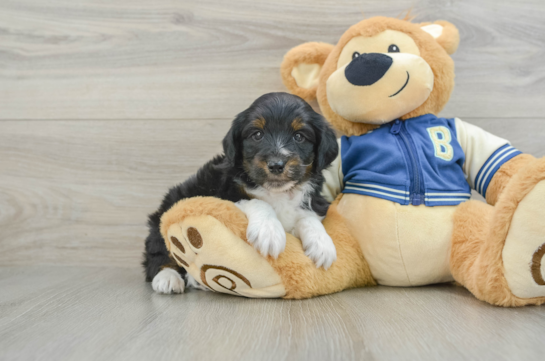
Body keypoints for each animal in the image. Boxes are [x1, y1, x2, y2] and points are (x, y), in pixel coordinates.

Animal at [142, 92, 338, 292]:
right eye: (257, 134)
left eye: (299, 136)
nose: (276, 165)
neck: (277, 192)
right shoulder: (224, 194)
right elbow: (258, 201)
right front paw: (269, 231)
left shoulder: (314, 202)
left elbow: (308, 216)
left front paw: (322, 243)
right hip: (167, 209)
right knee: (158, 253)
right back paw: (168, 278)